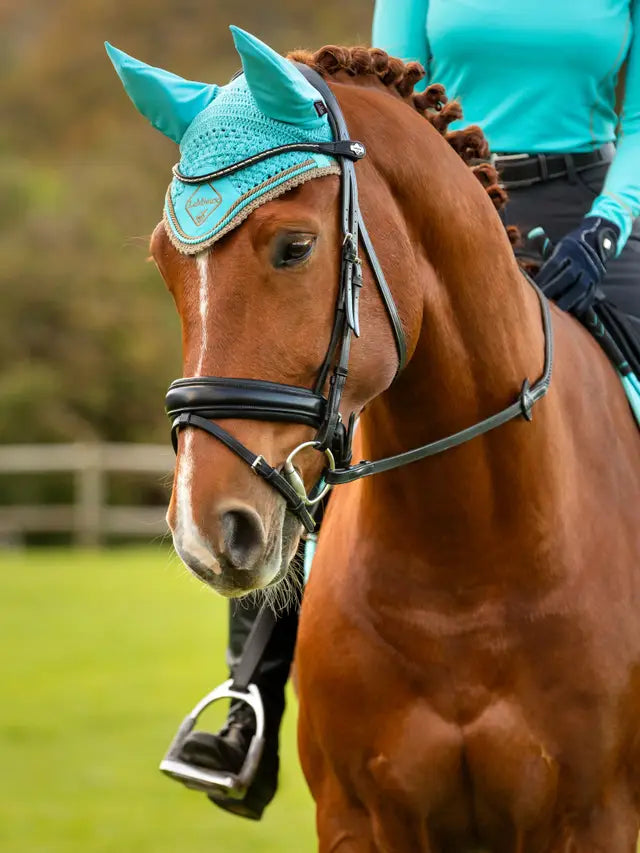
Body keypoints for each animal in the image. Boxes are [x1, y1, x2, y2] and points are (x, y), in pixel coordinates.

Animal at [111, 28, 640, 851]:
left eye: (294, 247)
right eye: (166, 262)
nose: (206, 529)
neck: (465, 568)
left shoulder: (595, 821)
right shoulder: (359, 818)